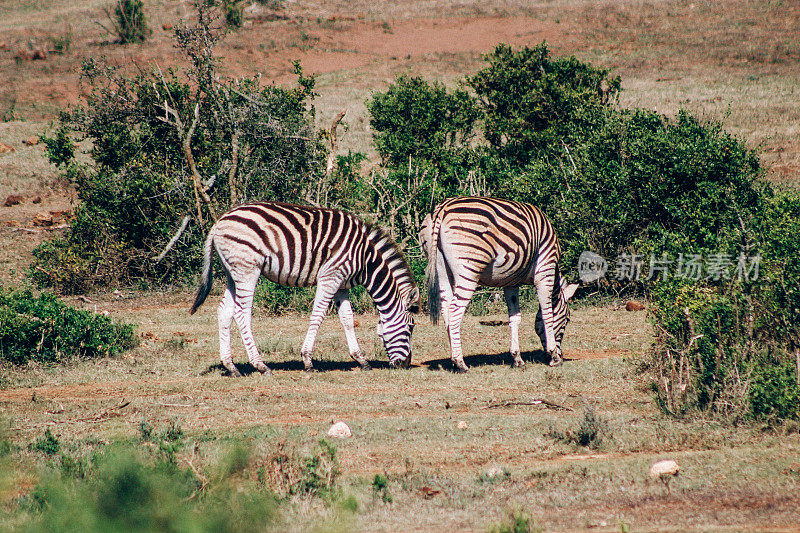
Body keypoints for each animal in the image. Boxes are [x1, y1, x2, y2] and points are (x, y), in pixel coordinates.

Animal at [191, 202, 422, 376]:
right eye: (411, 327)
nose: (405, 365)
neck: (366, 259)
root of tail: (219, 222)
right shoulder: (330, 277)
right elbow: (318, 315)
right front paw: (308, 361)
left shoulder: (342, 285)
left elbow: (347, 319)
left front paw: (361, 360)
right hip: (248, 269)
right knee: (241, 313)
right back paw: (261, 365)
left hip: (233, 272)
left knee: (224, 311)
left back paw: (231, 367)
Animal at [422, 197, 580, 372]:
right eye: (567, 319)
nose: (562, 355)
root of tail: (442, 208)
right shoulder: (545, 270)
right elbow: (547, 315)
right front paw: (554, 356)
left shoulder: (511, 282)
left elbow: (515, 318)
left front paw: (517, 358)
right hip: (469, 269)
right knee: (454, 311)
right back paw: (460, 362)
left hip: (441, 269)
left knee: (446, 311)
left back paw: (453, 360)